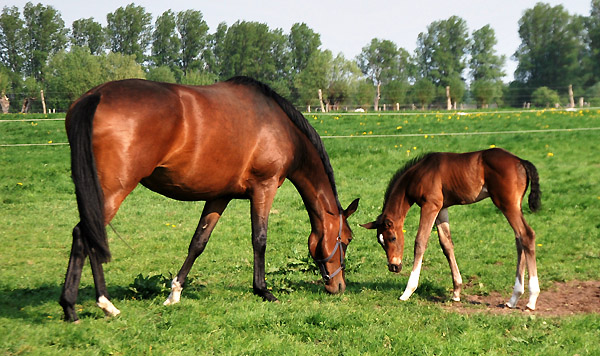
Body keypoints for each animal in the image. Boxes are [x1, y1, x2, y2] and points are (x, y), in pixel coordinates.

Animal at [59, 77, 360, 322]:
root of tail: (95, 96)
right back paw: (90, 306)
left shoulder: (219, 196)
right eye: (345, 240)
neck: (280, 126)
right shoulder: (265, 187)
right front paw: (263, 291)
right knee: (84, 235)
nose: (339, 286)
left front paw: (175, 293)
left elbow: (198, 242)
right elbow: (259, 239)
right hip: (112, 191)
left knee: (87, 237)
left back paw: (82, 306)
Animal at [360, 149, 544, 310]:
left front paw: (407, 291)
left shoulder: (430, 206)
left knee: (526, 235)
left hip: (507, 204)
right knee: (519, 239)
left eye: (392, 238)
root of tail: (520, 161)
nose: (394, 266)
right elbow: (446, 244)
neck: (418, 174)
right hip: (514, 205)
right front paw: (456, 291)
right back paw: (513, 299)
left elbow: (420, 241)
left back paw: (531, 300)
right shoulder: (442, 208)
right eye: (380, 242)